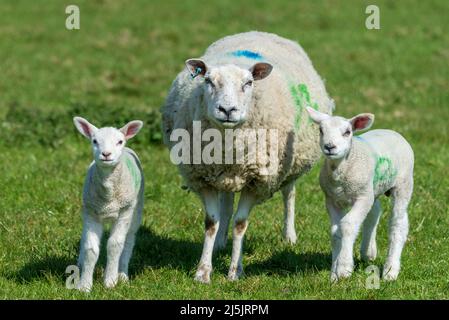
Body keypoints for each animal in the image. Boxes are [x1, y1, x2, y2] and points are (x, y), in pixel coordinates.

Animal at [73, 116, 144, 292]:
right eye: (94, 141)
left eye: (119, 141)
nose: (106, 154)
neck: (108, 196)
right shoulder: (91, 213)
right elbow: (91, 249)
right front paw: (84, 285)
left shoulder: (124, 212)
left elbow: (114, 245)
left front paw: (110, 281)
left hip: (135, 210)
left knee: (128, 241)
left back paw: (123, 275)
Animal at [161, 31, 332, 282]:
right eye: (208, 81)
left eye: (248, 83)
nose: (227, 110)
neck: (228, 146)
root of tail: (259, 32)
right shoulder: (202, 178)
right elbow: (211, 222)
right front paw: (203, 272)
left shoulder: (256, 181)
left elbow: (241, 224)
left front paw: (235, 271)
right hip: (223, 175)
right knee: (226, 202)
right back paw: (221, 241)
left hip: (291, 163)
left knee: (289, 194)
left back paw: (289, 236)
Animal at [304, 107, 412, 280]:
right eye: (321, 130)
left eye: (347, 132)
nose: (329, 146)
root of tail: (393, 132)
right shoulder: (332, 199)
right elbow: (335, 232)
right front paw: (333, 274)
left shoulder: (362, 198)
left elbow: (347, 225)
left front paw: (344, 268)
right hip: (372, 188)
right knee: (374, 212)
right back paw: (368, 252)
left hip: (403, 184)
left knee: (398, 223)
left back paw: (390, 271)